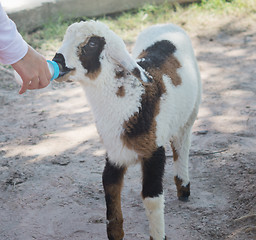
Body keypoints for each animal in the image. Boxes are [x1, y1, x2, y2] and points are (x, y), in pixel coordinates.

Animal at [52, 20, 202, 240]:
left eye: (91, 44)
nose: (57, 61)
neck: (133, 99)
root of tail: (165, 24)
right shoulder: (114, 153)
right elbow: (110, 188)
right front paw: (115, 233)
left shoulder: (154, 151)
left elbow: (151, 197)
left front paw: (158, 234)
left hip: (191, 112)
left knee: (181, 147)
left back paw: (184, 188)